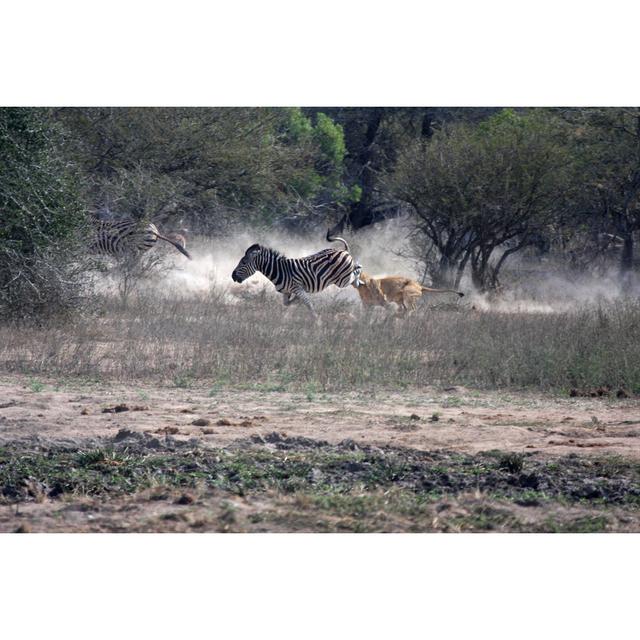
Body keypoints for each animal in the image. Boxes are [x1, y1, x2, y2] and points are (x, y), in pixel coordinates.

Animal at [230, 232, 360, 318]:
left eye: (244, 262)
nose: (232, 276)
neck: (279, 270)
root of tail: (343, 251)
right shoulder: (287, 291)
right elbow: (287, 303)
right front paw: (296, 301)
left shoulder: (297, 288)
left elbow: (309, 304)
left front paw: (317, 322)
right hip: (342, 279)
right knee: (355, 272)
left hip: (342, 281)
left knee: (356, 271)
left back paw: (359, 279)